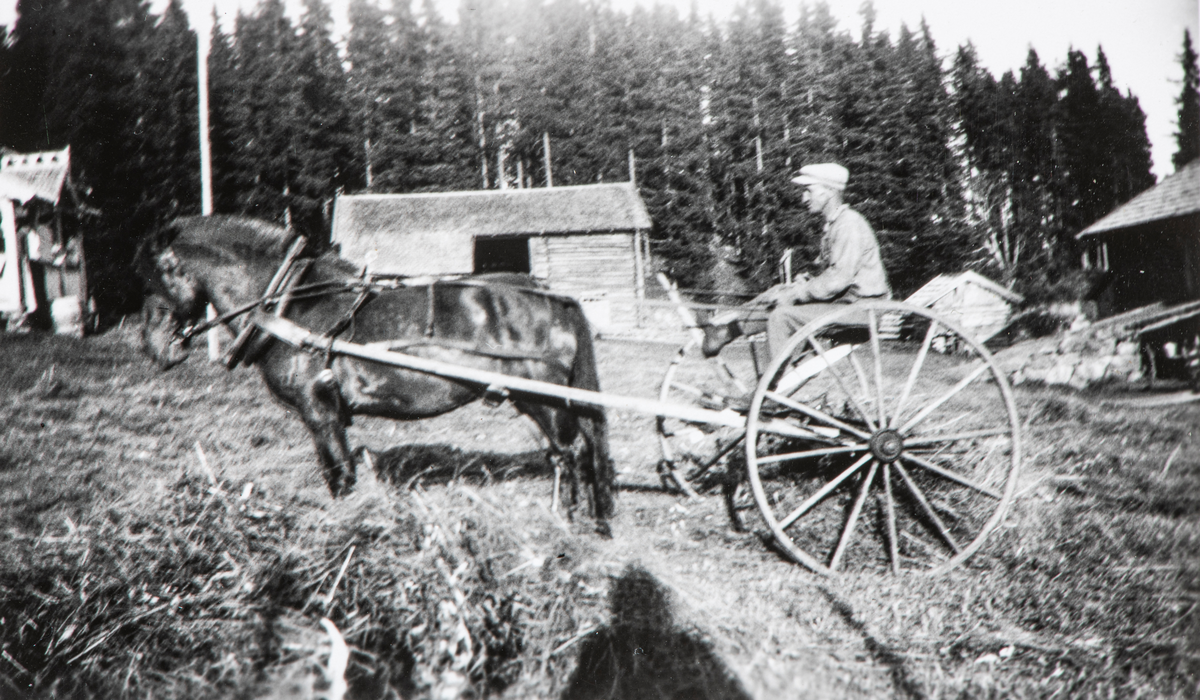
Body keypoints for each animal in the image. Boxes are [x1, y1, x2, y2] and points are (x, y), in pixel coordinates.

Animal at [136, 216, 614, 533]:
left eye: (162, 271)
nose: (152, 345)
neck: (293, 306)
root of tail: (552, 295)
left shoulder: (320, 411)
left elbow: (339, 475)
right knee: (569, 455)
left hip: (543, 399)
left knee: (573, 454)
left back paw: (574, 525)